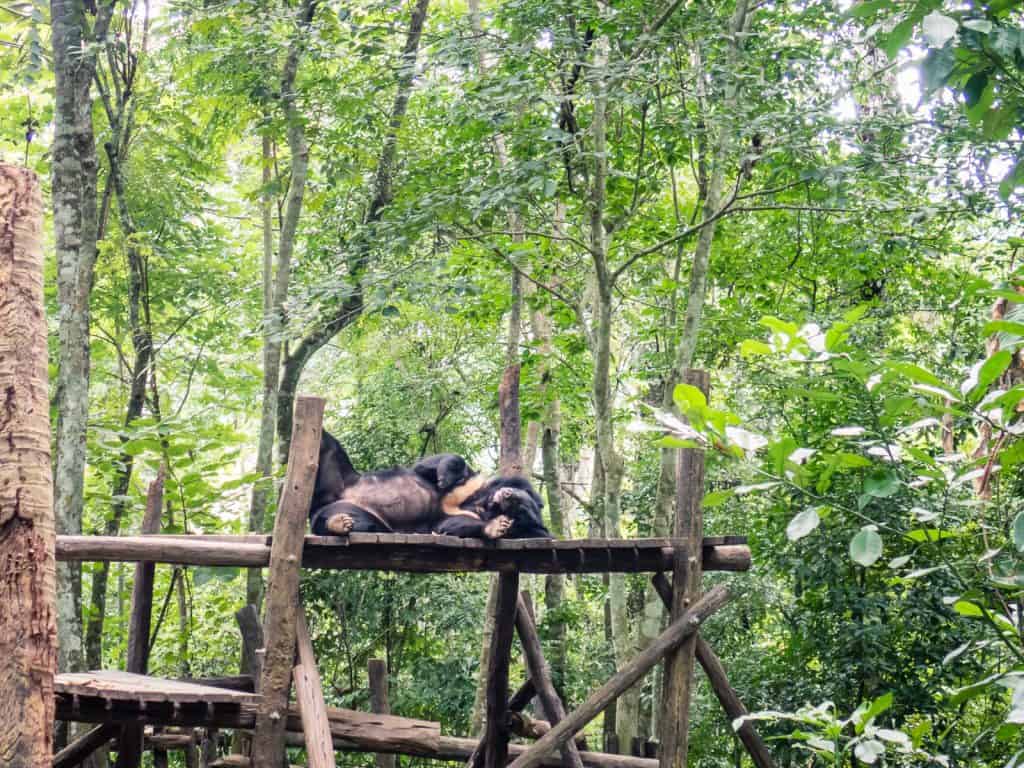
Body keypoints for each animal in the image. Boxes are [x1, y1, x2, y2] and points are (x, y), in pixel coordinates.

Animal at [309, 434, 552, 540]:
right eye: (522, 497)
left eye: (520, 510)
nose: (508, 495)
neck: (481, 502)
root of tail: (322, 504)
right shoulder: (471, 484)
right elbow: (433, 465)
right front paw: (445, 477)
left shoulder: (459, 516)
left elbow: (449, 525)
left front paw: (497, 526)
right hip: (338, 473)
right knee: (328, 444)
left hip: (361, 514)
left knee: (361, 524)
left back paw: (338, 522)